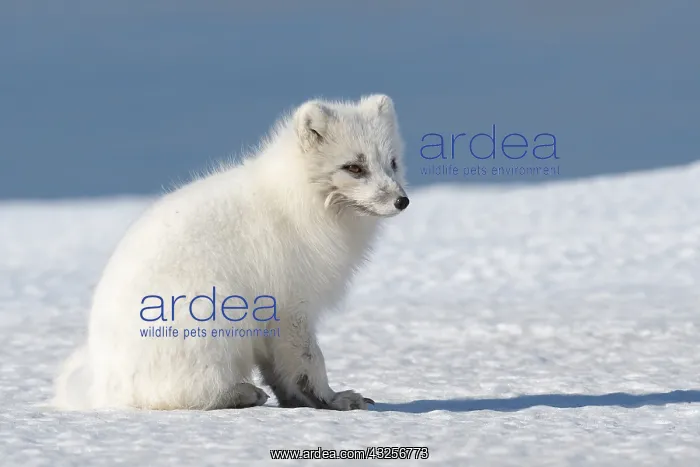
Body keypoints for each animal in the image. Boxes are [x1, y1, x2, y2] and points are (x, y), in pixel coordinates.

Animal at [52, 94, 409, 411]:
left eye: (392, 163)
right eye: (354, 167)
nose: (402, 201)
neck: (295, 203)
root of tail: (101, 387)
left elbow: (283, 374)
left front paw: (301, 402)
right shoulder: (290, 307)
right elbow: (309, 361)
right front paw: (334, 400)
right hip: (215, 317)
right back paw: (240, 394)